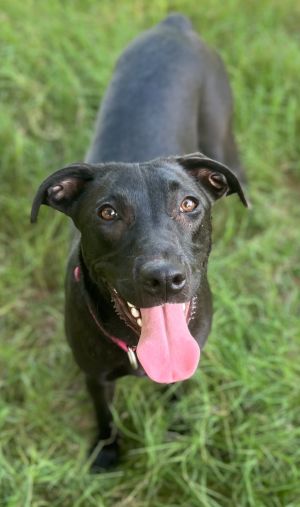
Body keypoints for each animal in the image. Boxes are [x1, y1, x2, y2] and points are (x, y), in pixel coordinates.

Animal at [31, 12, 246, 472]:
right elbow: (104, 412)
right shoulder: (93, 375)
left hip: (222, 136)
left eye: (188, 204)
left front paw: (180, 432)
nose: (164, 278)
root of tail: (174, 24)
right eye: (107, 213)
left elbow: (178, 391)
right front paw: (108, 451)